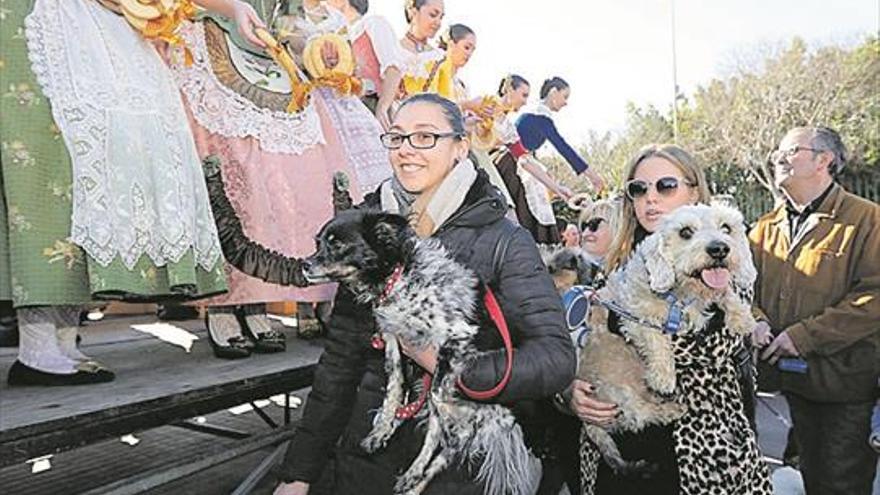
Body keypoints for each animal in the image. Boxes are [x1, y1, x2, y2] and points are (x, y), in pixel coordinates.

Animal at [302, 210, 540, 495]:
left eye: (337, 244)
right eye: (317, 243)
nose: (305, 264)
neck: (399, 278)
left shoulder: (457, 335)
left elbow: (437, 395)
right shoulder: (393, 340)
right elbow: (394, 384)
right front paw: (382, 429)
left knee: (447, 438)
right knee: (439, 443)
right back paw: (413, 475)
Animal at [580, 204, 760, 476]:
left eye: (726, 228)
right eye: (685, 232)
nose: (719, 249)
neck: (681, 294)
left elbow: (726, 292)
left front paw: (742, 317)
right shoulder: (633, 315)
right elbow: (657, 338)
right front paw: (664, 377)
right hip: (621, 395)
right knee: (642, 414)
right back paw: (671, 407)